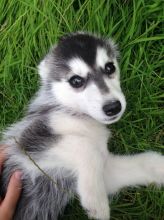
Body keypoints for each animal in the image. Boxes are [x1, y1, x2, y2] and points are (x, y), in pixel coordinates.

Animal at [0, 32, 164, 220]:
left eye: (109, 68)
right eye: (76, 80)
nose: (113, 107)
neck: (81, 119)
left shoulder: (103, 171)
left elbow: (139, 164)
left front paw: (159, 165)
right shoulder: (27, 142)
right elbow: (86, 148)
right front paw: (97, 204)